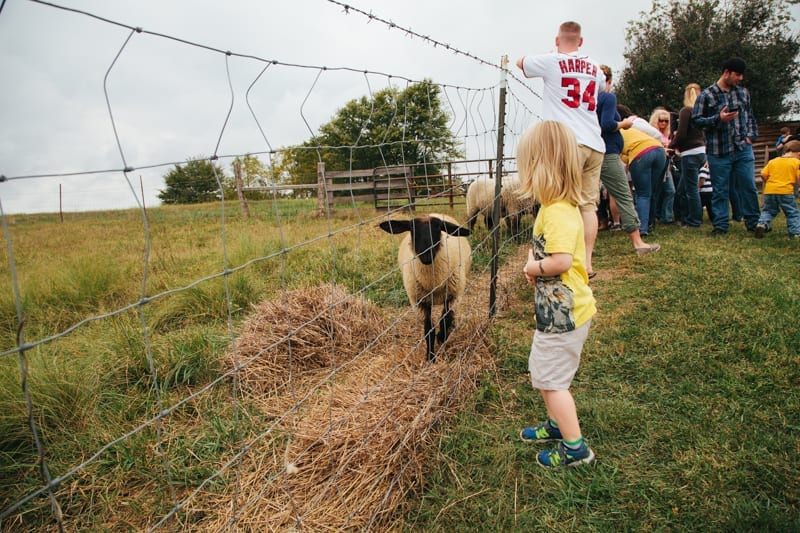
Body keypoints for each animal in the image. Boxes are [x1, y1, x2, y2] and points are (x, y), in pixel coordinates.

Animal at [378, 213, 472, 362]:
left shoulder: (453, 296)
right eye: (411, 228)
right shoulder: (420, 303)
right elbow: (429, 329)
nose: (426, 255)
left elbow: (445, 321)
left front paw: (441, 337)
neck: (433, 283)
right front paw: (430, 357)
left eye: (439, 227)